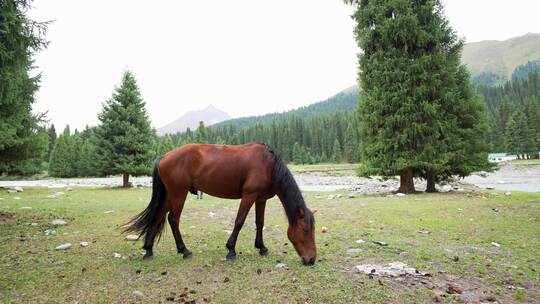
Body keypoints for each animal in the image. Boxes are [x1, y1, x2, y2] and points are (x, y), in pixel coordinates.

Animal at [124, 144, 318, 264]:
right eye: (305, 230)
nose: (311, 260)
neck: (268, 166)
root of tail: (164, 156)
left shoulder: (260, 199)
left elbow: (259, 223)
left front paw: (261, 247)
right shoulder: (249, 196)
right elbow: (239, 222)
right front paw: (231, 250)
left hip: (171, 195)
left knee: (158, 216)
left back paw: (149, 250)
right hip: (178, 194)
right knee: (173, 219)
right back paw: (184, 250)